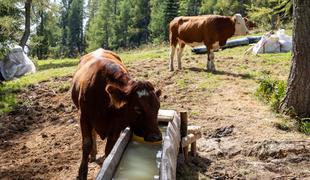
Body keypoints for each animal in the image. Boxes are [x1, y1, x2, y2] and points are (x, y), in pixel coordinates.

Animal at [71, 48, 162, 179]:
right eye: (138, 108)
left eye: (158, 107)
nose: (157, 137)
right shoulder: (84, 117)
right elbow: (86, 144)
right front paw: (82, 174)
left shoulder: (115, 127)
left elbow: (110, 150)